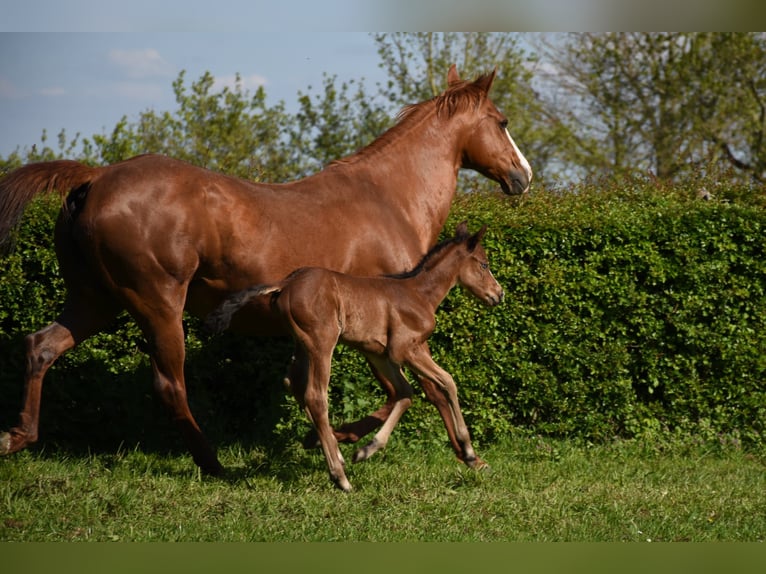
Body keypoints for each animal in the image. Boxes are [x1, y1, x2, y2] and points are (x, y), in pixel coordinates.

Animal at [205, 222, 503, 491]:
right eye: (484, 265)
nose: (498, 295)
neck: (419, 294)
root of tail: (285, 283)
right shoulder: (406, 349)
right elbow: (448, 382)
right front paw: (469, 451)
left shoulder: (381, 353)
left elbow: (405, 393)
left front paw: (365, 450)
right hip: (321, 342)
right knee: (315, 396)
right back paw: (340, 477)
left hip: (302, 344)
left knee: (294, 384)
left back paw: (336, 455)